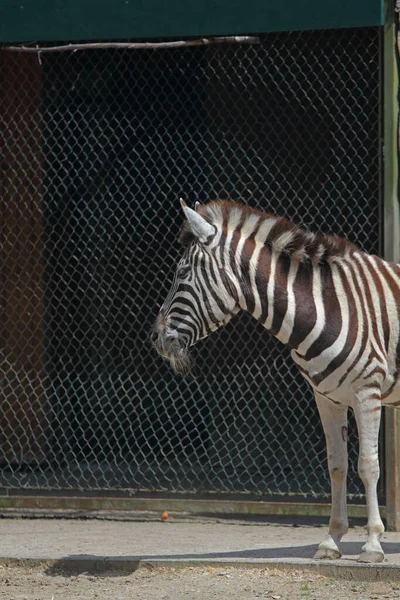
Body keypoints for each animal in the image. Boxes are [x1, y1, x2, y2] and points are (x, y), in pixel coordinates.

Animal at [151, 197, 400, 564]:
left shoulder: (367, 391)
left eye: (181, 274)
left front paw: (371, 544)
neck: (324, 307)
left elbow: (368, 465)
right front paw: (331, 540)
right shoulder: (328, 397)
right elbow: (337, 466)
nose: (155, 338)